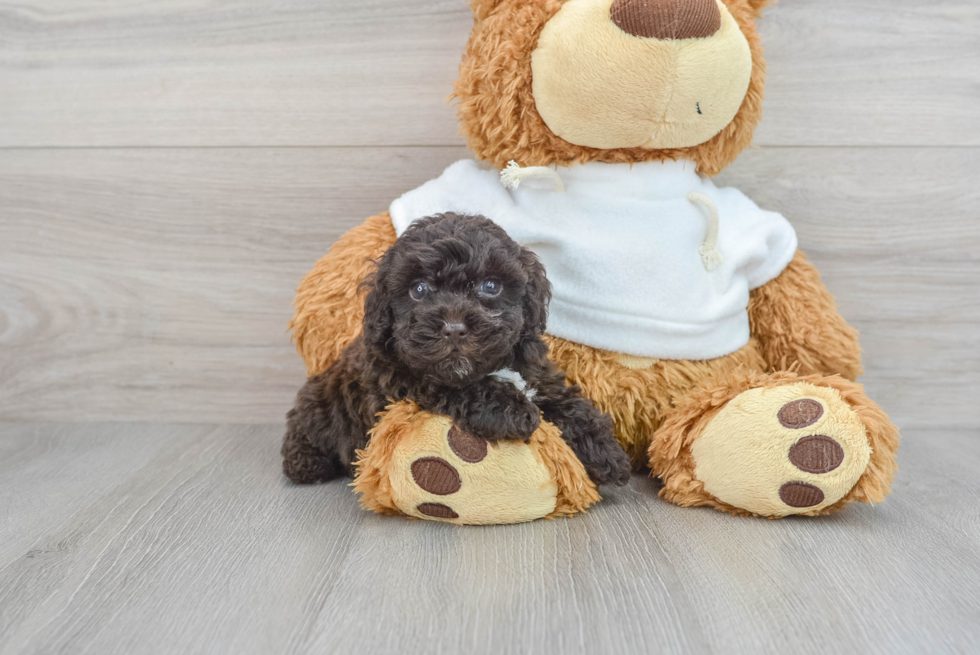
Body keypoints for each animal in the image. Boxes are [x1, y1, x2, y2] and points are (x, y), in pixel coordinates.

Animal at [284, 214, 632, 486]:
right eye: (419, 289)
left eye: (490, 286)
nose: (453, 328)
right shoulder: (400, 378)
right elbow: (453, 386)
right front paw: (512, 409)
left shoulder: (536, 372)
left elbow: (565, 401)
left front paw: (605, 451)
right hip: (318, 402)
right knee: (304, 428)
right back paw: (304, 463)